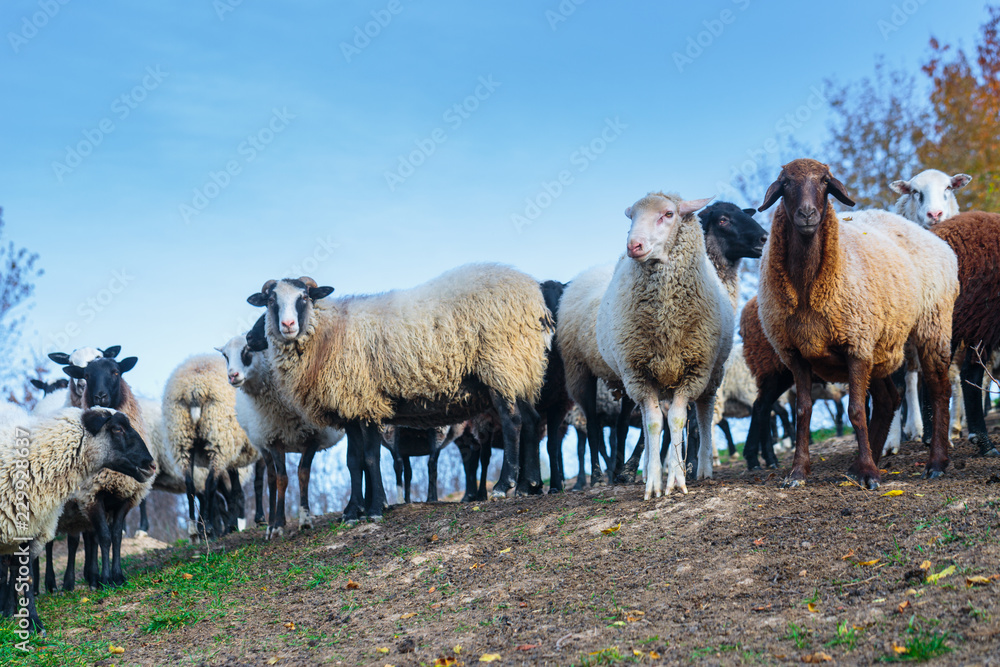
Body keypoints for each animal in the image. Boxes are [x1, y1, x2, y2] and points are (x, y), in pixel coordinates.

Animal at [161, 354, 258, 542]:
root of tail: (194, 388)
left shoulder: (234, 457)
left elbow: (235, 492)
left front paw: (232, 526)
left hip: (182, 438)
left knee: (190, 484)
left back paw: (194, 530)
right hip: (219, 438)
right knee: (209, 483)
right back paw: (210, 528)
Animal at [218, 331, 344, 539]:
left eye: (248, 350)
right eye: (225, 356)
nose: (232, 376)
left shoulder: (313, 436)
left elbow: (303, 474)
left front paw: (305, 520)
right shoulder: (274, 439)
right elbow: (281, 479)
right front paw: (277, 526)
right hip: (262, 442)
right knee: (271, 478)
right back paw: (271, 524)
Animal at [246, 265, 553, 521]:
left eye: (304, 297)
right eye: (271, 301)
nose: (287, 326)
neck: (328, 331)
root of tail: (533, 293)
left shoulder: (365, 401)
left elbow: (370, 458)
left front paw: (373, 509)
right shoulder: (350, 408)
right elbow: (353, 461)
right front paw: (352, 511)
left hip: (501, 363)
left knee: (512, 421)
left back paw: (504, 485)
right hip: (520, 368)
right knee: (533, 420)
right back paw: (530, 485)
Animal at [595, 191, 729, 498]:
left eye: (668, 214)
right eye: (631, 217)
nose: (634, 245)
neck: (666, 321)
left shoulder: (694, 370)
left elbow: (678, 420)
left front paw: (677, 480)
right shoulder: (638, 374)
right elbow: (654, 423)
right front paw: (654, 482)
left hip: (713, 375)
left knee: (704, 415)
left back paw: (704, 469)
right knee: (648, 421)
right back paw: (647, 470)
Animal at [757, 159, 958, 489]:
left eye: (825, 181)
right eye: (785, 183)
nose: (807, 214)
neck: (806, 286)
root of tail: (932, 236)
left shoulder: (856, 345)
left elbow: (856, 410)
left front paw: (868, 474)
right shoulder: (796, 353)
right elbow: (804, 411)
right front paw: (798, 472)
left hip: (932, 323)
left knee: (940, 389)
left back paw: (936, 463)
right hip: (879, 344)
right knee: (889, 399)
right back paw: (862, 463)